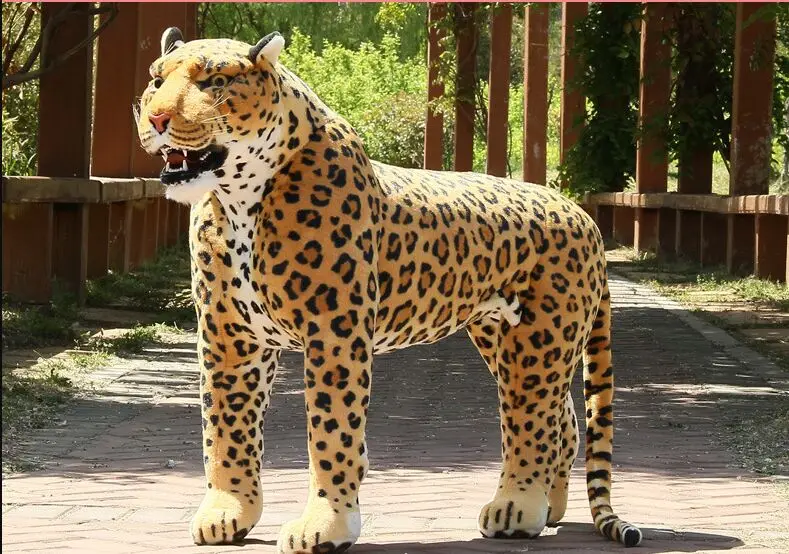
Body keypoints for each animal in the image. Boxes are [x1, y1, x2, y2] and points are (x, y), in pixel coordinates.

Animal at [136, 27, 642, 553]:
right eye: (156, 80)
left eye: (213, 82)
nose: (156, 118)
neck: (239, 199)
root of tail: (581, 215)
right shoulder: (229, 336)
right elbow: (225, 430)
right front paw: (227, 511)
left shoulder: (334, 334)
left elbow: (332, 433)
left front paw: (326, 524)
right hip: (503, 337)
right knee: (565, 420)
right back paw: (550, 507)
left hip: (540, 340)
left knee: (535, 421)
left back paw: (518, 508)